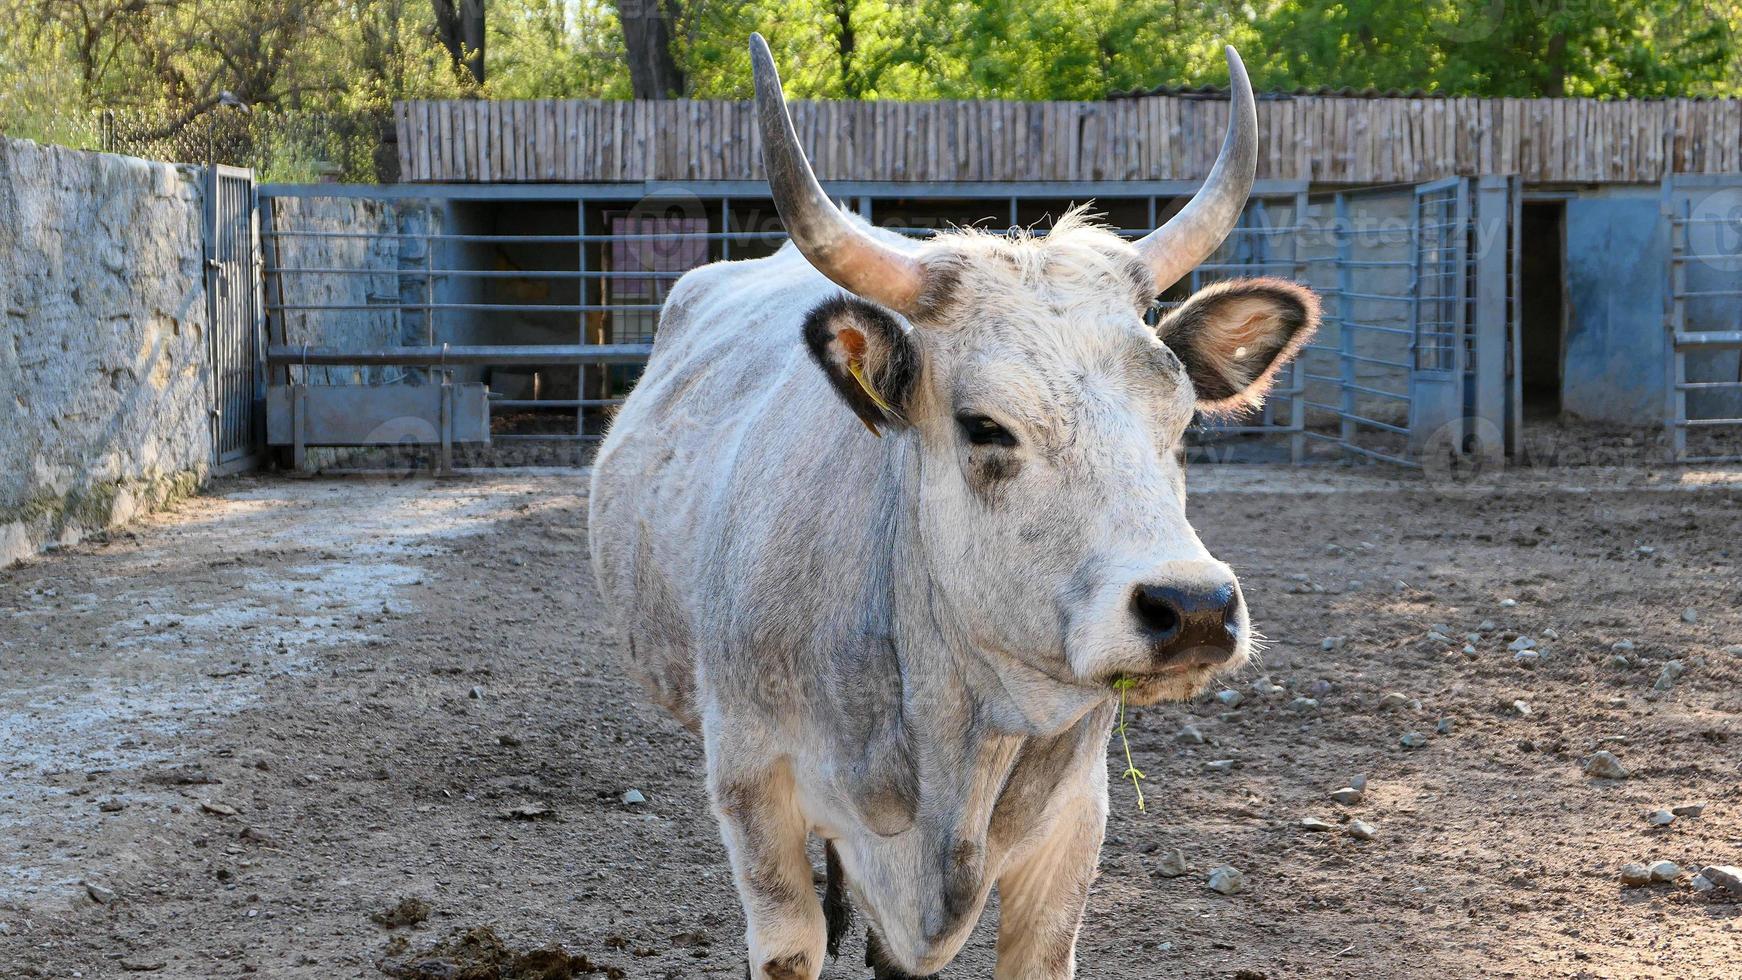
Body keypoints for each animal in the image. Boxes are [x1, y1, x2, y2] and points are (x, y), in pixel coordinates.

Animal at [588, 32, 1316, 980]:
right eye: (985, 426)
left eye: (1182, 417)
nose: (1193, 606)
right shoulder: (752, 792)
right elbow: (791, 940)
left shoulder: (1074, 824)